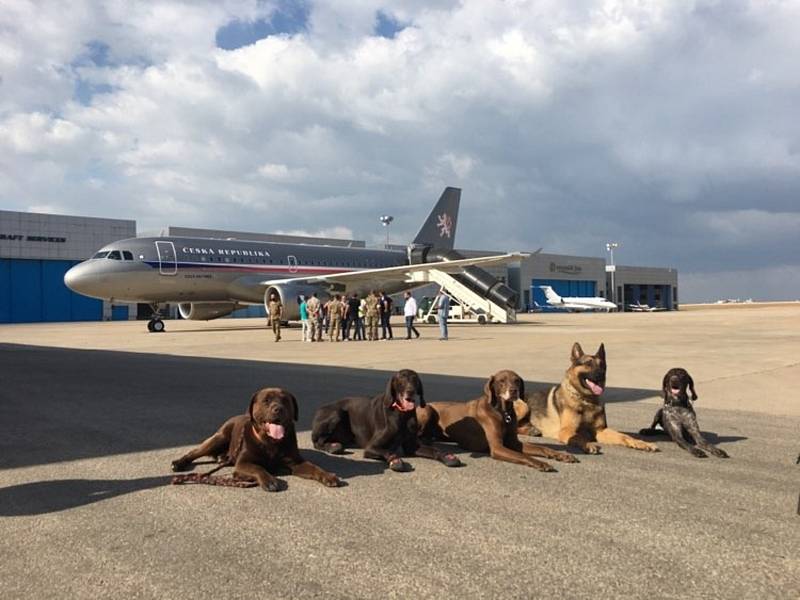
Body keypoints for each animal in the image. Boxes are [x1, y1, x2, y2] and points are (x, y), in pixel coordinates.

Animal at [172, 390, 340, 492]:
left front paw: (328, 476)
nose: (278, 409)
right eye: (266, 401)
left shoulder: (296, 462)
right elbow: (258, 468)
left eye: (286, 401)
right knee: (194, 452)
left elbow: (314, 467)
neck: (271, 442)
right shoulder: (243, 464)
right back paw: (179, 463)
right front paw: (269, 480)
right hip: (219, 438)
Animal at [312, 368, 462, 472]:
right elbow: (388, 452)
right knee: (317, 442)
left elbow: (434, 450)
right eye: (401, 379)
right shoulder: (371, 447)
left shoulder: (412, 446)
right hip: (337, 413)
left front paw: (447, 457)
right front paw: (395, 461)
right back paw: (332, 447)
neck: (402, 415)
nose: (410, 391)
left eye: (415, 379)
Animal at [416, 368, 580, 472]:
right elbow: (522, 455)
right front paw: (540, 463)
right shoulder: (497, 447)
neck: (503, 412)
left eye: (516, 381)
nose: (513, 391)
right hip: (427, 409)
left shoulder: (514, 442)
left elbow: (541, 448)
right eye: (501, 381)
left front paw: (561, 455)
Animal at [516, 344, 660, 452]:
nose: (601, 374)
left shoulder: (601, 431)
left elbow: (624, 436)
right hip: (524, 406)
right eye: (588, 364)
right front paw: (588, 445)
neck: (586, 400)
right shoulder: (566, 431)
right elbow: (578, 438)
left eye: (602, 365)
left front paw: (641, 443)